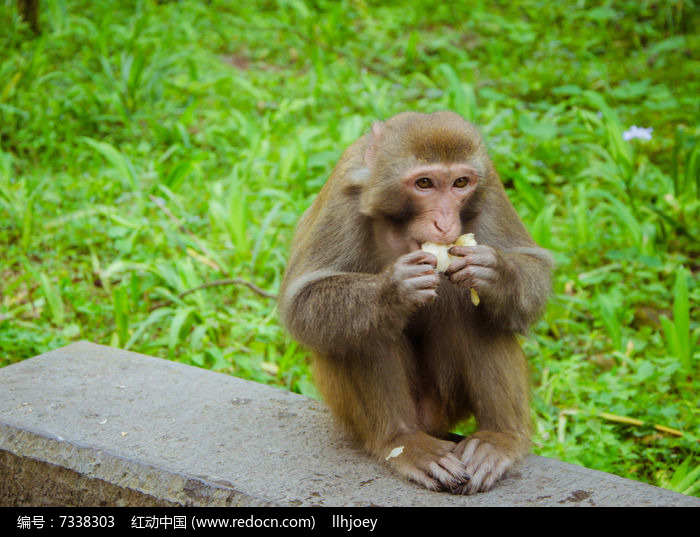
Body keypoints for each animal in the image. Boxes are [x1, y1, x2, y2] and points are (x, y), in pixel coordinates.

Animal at [278, 110, 552, 494]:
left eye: (461, 183)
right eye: (424, 183)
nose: (445, 222)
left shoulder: (490, 187)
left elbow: (534, 268)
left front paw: (494, 272)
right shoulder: (343, 196)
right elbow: (302, 303)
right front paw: (394, 290)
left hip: (445, 400)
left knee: (473, 310)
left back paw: (499, 438)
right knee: (363, 329)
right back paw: (404, 441)